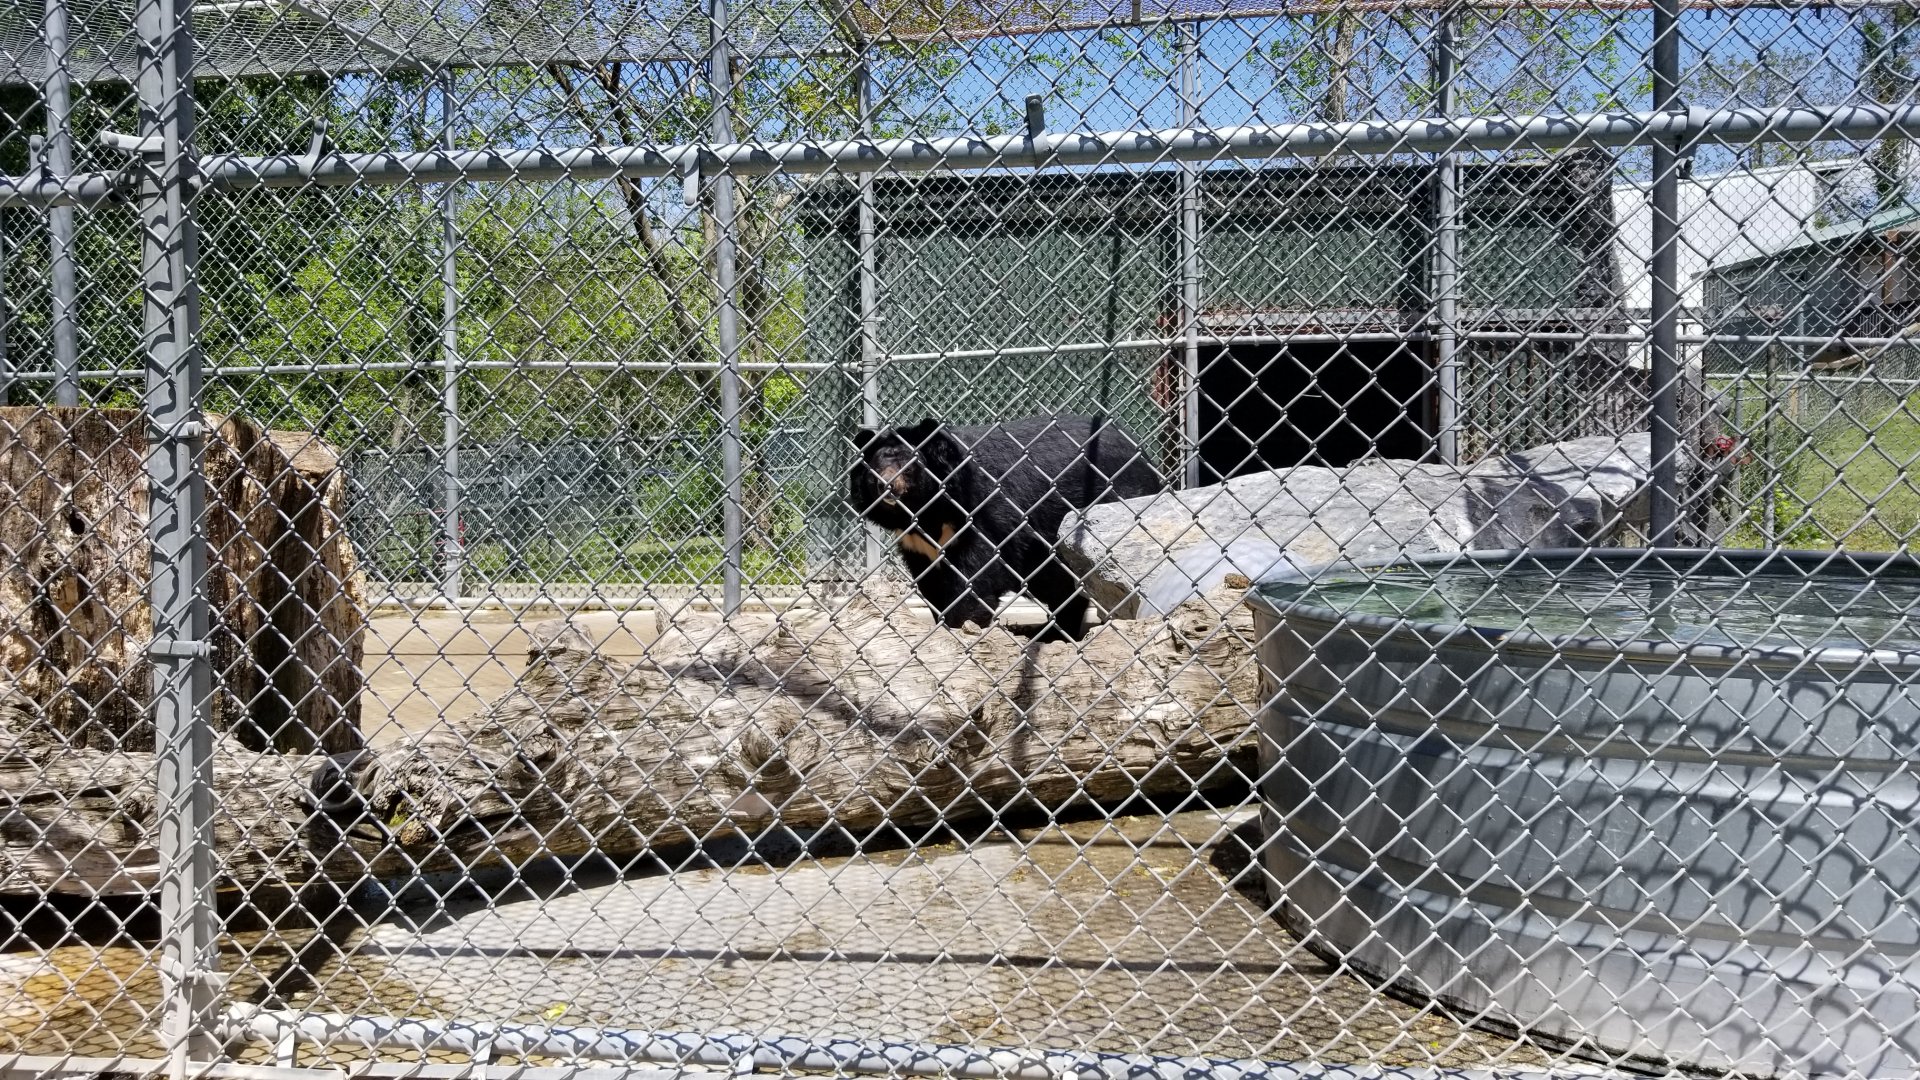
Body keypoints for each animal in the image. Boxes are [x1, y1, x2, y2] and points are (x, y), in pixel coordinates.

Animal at [848, 414, 1164, 642]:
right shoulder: (916, 543)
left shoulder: (984, 513)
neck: (926, 511)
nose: (887, 486)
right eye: (874, 469)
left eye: (911, 467)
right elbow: (931, 585)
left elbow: (978, 575)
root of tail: (1144, 457)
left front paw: (962, 629)